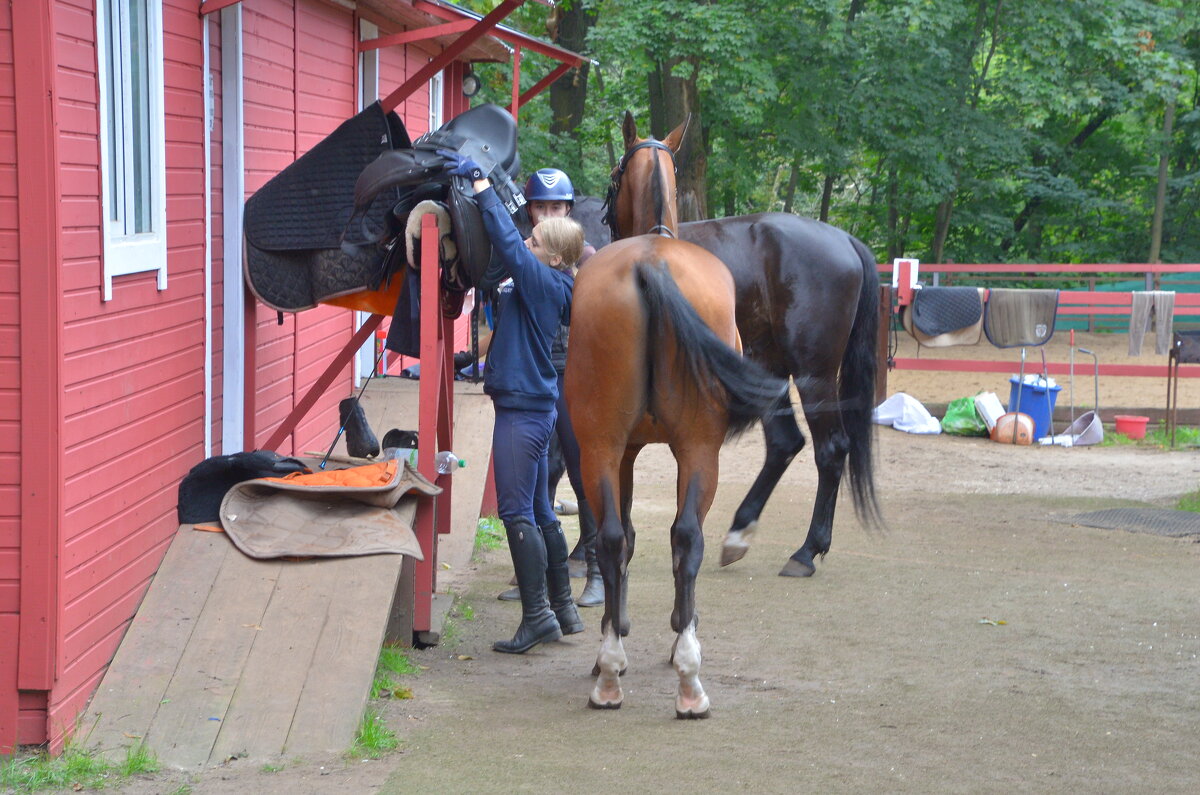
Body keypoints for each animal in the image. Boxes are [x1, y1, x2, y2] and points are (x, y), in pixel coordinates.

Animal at [568, 115, 792, 720]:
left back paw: (618, 674)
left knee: (628, 538)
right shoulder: (637, 451)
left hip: (611, 446)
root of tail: (652, 263)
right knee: (677, 536)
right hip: (683, 448)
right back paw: (675, 673)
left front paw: (625, 635)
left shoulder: (623, 451)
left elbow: (628, 537)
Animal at [590, 115, 883, 576]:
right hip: (768, 368)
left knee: (831, 448)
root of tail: (843, 239)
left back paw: (807, 549)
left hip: (814, 375)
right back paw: (740, 532)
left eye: (613, 177)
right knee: (785, 443)